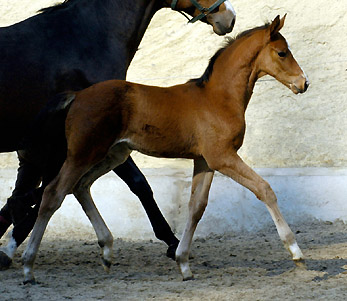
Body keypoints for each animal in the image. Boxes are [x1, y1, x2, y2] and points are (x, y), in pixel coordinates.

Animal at [21, 13, 308, 282]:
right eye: (282, 53)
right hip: (82, 154)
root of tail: (77, 95)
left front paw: (183, 264)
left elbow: (196, 207)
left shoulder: (204, 161)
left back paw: (107, 252)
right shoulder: (222, 157)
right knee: (53, 193)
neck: (218, 98)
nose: (304, 83)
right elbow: (264, 189)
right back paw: (28, 267)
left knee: (80, 187)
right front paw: (296, 253)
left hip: (113, 155)